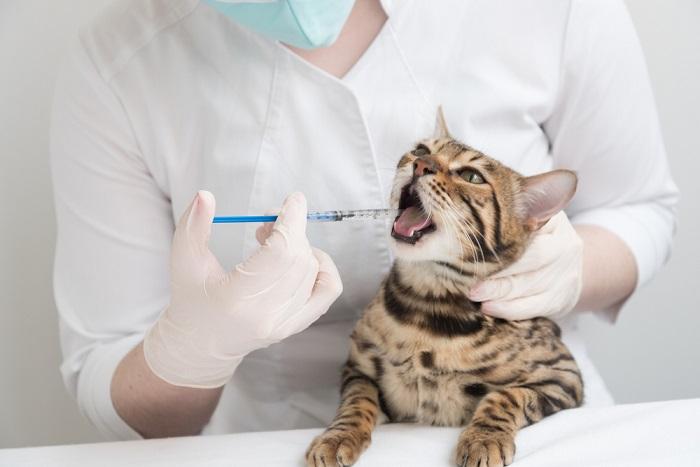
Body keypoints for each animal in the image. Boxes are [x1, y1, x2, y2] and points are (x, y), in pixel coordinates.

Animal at [306, 110, 584, 467]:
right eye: (421, 149)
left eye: (472, 176)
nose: (420, 164)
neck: (424, 306)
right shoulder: (359, 367)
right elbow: (356, 403)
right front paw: (339, 436)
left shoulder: (562, 376)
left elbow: (506, 396)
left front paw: (483, 439)